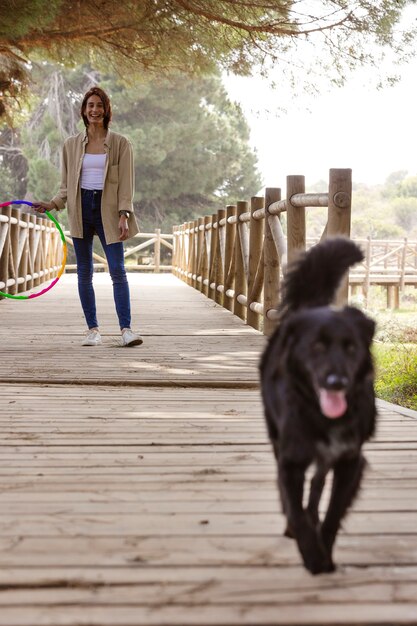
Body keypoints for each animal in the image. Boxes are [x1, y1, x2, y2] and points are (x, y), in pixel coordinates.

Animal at [258, 236, 376, 572]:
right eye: (317, 347)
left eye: (351, 348)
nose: (337, 382)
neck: (323, 417)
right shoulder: (291, 460)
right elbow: (295, 509)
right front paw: (312, 556)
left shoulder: (350, 461)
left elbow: (333, 513)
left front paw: (325, 552)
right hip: (278, 438)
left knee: (317, 485)